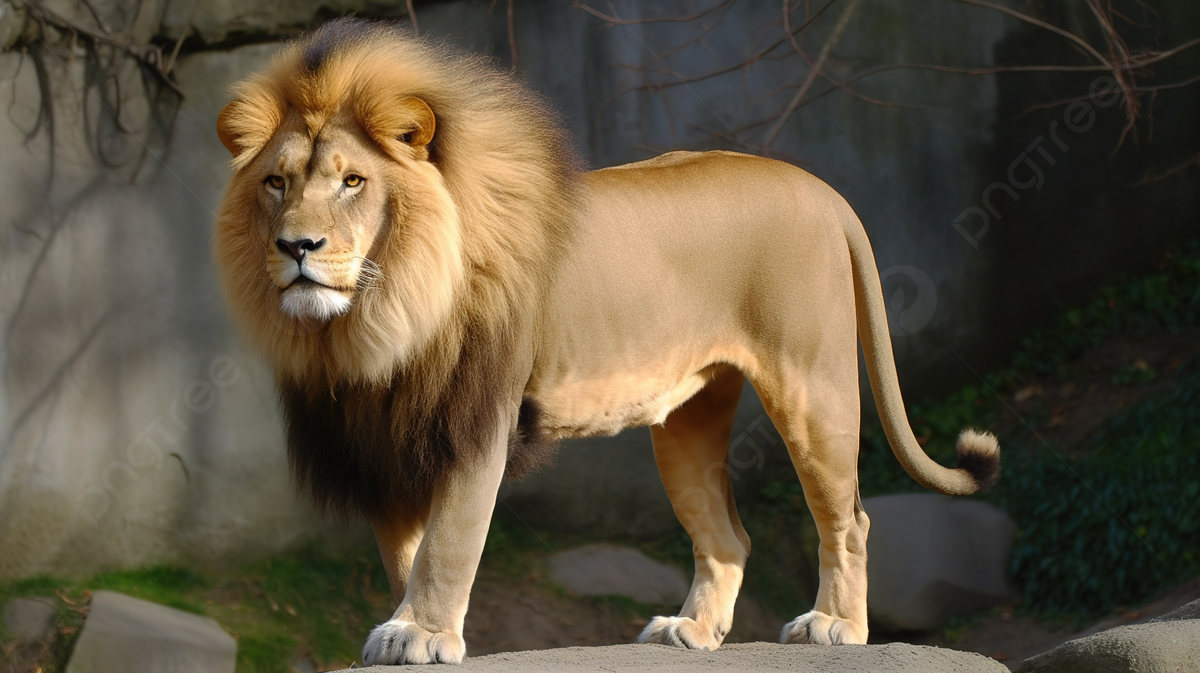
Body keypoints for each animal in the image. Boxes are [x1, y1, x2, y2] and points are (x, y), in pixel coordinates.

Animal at [213, 18, 1000, 665]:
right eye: (276, 183)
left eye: (353, 181)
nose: (297, 247)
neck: (374, 317)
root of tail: (822, 189)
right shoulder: (380, 433)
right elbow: (406, 548)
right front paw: (418, 626)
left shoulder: (478, 417)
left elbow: (448, 540)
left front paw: (422, 633)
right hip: (688, 419)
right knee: (729, 537)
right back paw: (691, 630)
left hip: (813, 385)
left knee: (850, 518)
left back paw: (836, 626)